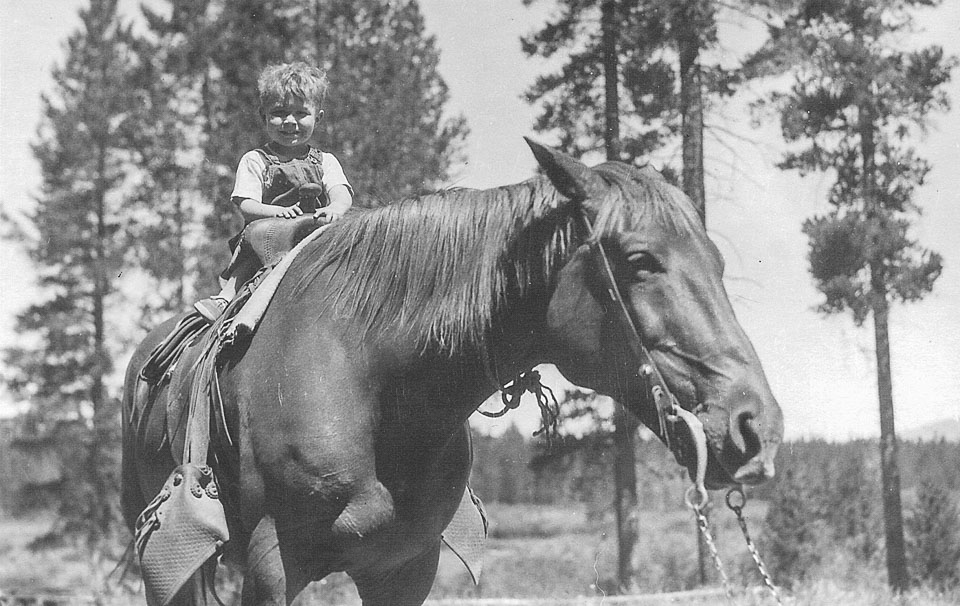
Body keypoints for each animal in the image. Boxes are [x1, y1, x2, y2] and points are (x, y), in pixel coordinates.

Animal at [120, 141, 780, 606]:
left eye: (718, 262)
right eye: (640, 261)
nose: (757, 427)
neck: (368, 382)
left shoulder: (405, 570)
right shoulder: (271, 568)